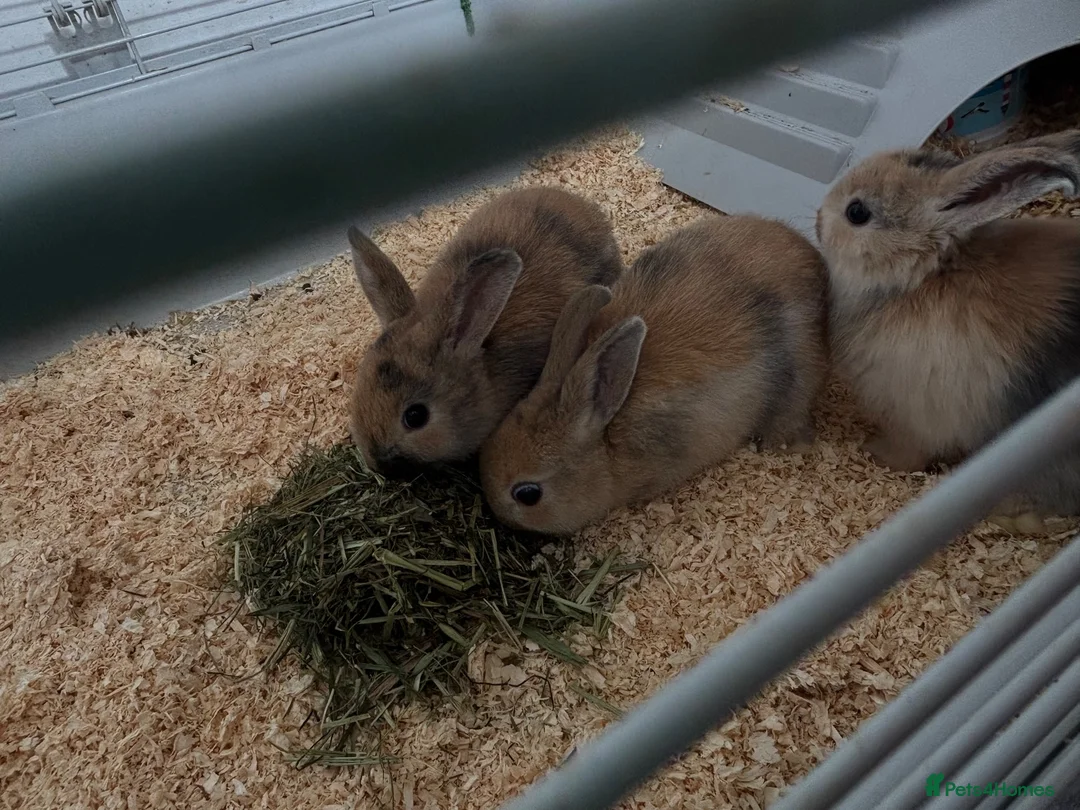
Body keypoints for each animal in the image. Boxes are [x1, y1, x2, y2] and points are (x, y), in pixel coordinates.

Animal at [815, 128, 1080, 532]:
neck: (921, 278)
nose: (816, 219)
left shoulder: (914, 419)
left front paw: (873, 452)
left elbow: (908, 451)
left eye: (857, 212)